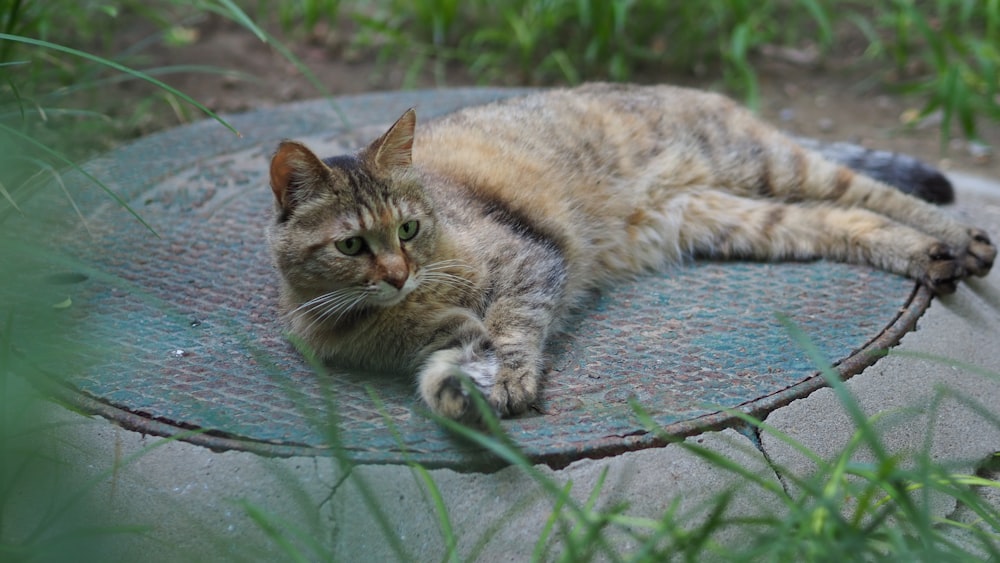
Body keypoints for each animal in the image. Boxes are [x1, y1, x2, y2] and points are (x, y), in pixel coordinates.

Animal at [266, 82, 992, 424]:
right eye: (352, 244)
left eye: (409, 229)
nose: (396, 274)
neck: (392, 313)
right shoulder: (441, 333)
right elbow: (455, 357)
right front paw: (462, 392)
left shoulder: (529, 262)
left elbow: (514, 328)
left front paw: (511, 380)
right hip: (740, 218)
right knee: (849, 219)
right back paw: (931, 254)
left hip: (769, 165)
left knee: (872, 191)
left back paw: (962, 240)